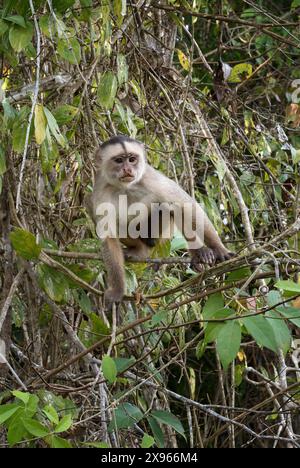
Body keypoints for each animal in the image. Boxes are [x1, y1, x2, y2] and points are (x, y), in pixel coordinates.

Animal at [85, 136, 233, 310]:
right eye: (119, 160)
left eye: (132, 159)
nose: (128, 169)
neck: (126, 187)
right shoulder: (101, 190)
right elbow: (108, 236)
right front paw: (117, 290)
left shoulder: (151, 178)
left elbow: (186, 206)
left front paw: (218, 248)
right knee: (90, 205)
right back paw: (140, 250)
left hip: (160, 235)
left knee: (172, 207)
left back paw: (199, 253)